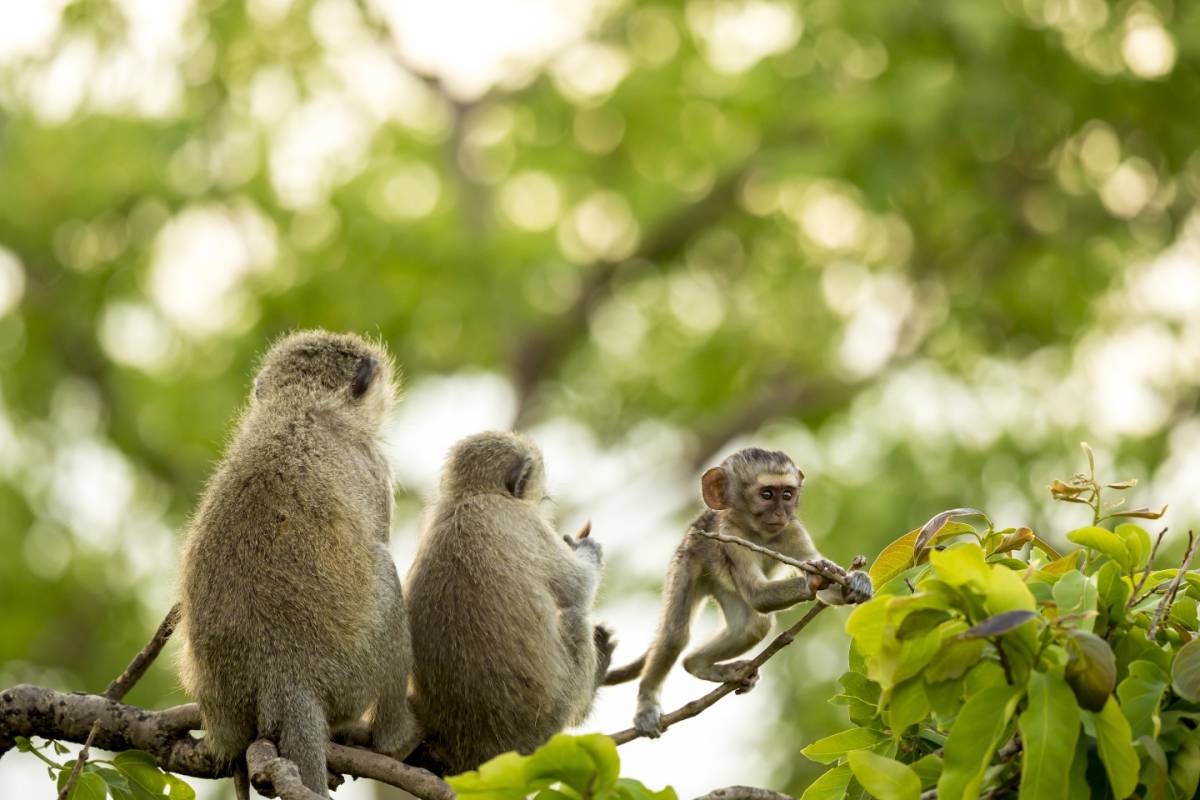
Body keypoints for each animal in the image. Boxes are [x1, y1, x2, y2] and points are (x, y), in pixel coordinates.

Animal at [177, 330, 420, 798]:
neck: (301, 406)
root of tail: (283, 677)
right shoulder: (373, 465)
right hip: (352, 670)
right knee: (383, 570)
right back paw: (395, 739)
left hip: (225, 716)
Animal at [405, 431, 614, 774]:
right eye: (542, 500)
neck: (470, 495)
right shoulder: (525, 521)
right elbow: (579, 587)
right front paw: (586, 549)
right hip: (549, 718)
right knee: (574, 617)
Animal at [604, 447, 873, 738]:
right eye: (766, 494)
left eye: (787, 494)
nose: (781, 513)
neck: (758, 534)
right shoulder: (730, 536)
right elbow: (758, 595)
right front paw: (814, 578)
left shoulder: (794, 531)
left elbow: (825, 595)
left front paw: (856, 581)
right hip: (687, 562)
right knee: (675, 635)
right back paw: (648, 704)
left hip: (724, 586)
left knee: (753, 625)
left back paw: (697, 665)